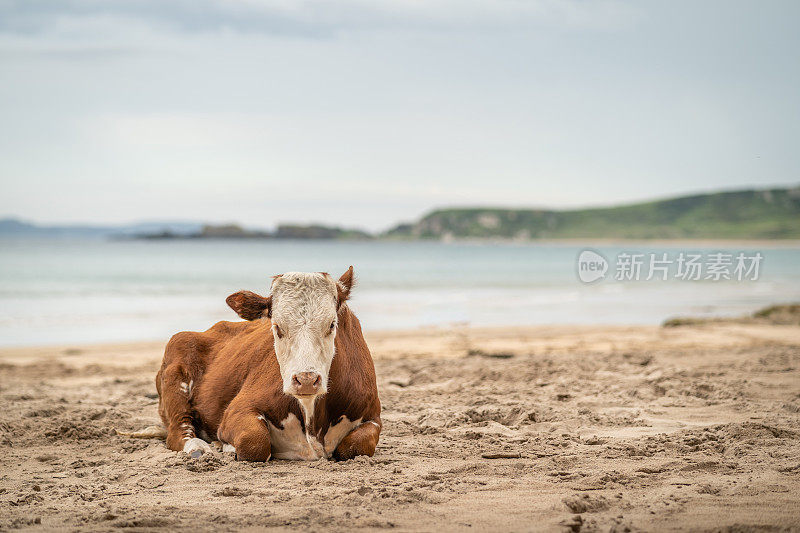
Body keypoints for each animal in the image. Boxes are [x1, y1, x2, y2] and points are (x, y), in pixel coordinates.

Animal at [158, 268, 382, 460]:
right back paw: (199, 448)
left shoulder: (373, 415)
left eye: (332, 324)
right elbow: (254, 442)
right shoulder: (237, 410)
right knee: (180, 430)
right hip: (176, 368)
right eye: (277, 326)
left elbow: (357, 445)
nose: (306, 380)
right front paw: (230, 447)